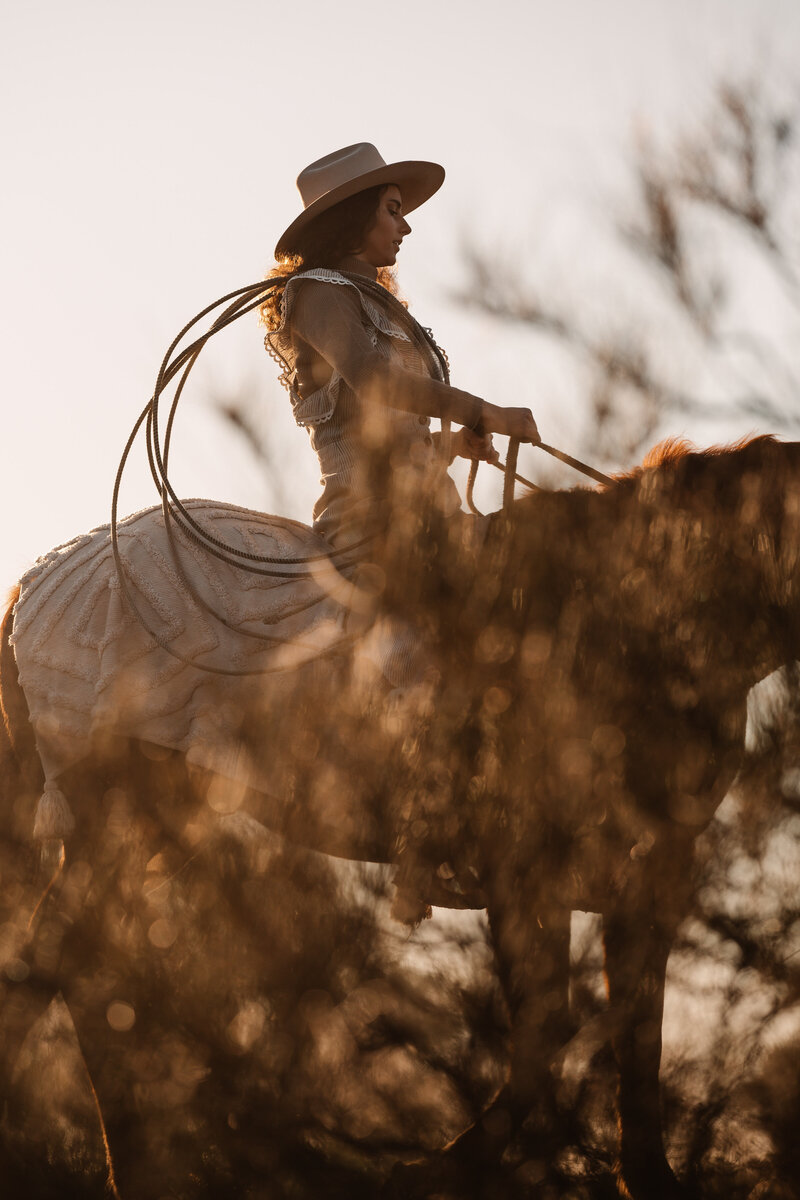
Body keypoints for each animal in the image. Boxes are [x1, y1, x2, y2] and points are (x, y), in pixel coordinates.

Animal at [1, 439, 800, 1200]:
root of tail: (36, 585)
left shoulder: (651, 867)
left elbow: (638, 1026)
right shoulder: (523, 867)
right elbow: (546, 1026)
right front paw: (436, 1171)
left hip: (155, 827)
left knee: (60, 955)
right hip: (118, 815)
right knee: (72, 956)